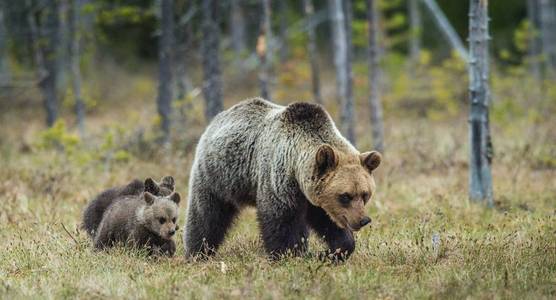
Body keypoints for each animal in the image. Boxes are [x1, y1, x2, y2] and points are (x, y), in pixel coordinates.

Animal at [185, 99, 380, 260]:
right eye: (345, 196)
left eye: (365, 194)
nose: (363, 220)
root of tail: (218, 118)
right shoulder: (278, 179)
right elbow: (280, 220)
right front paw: (289, 254)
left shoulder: (315, 200)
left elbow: (329, 223)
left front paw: (331, 252)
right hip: (217, 175)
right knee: (207, 214)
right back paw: (197, 252)